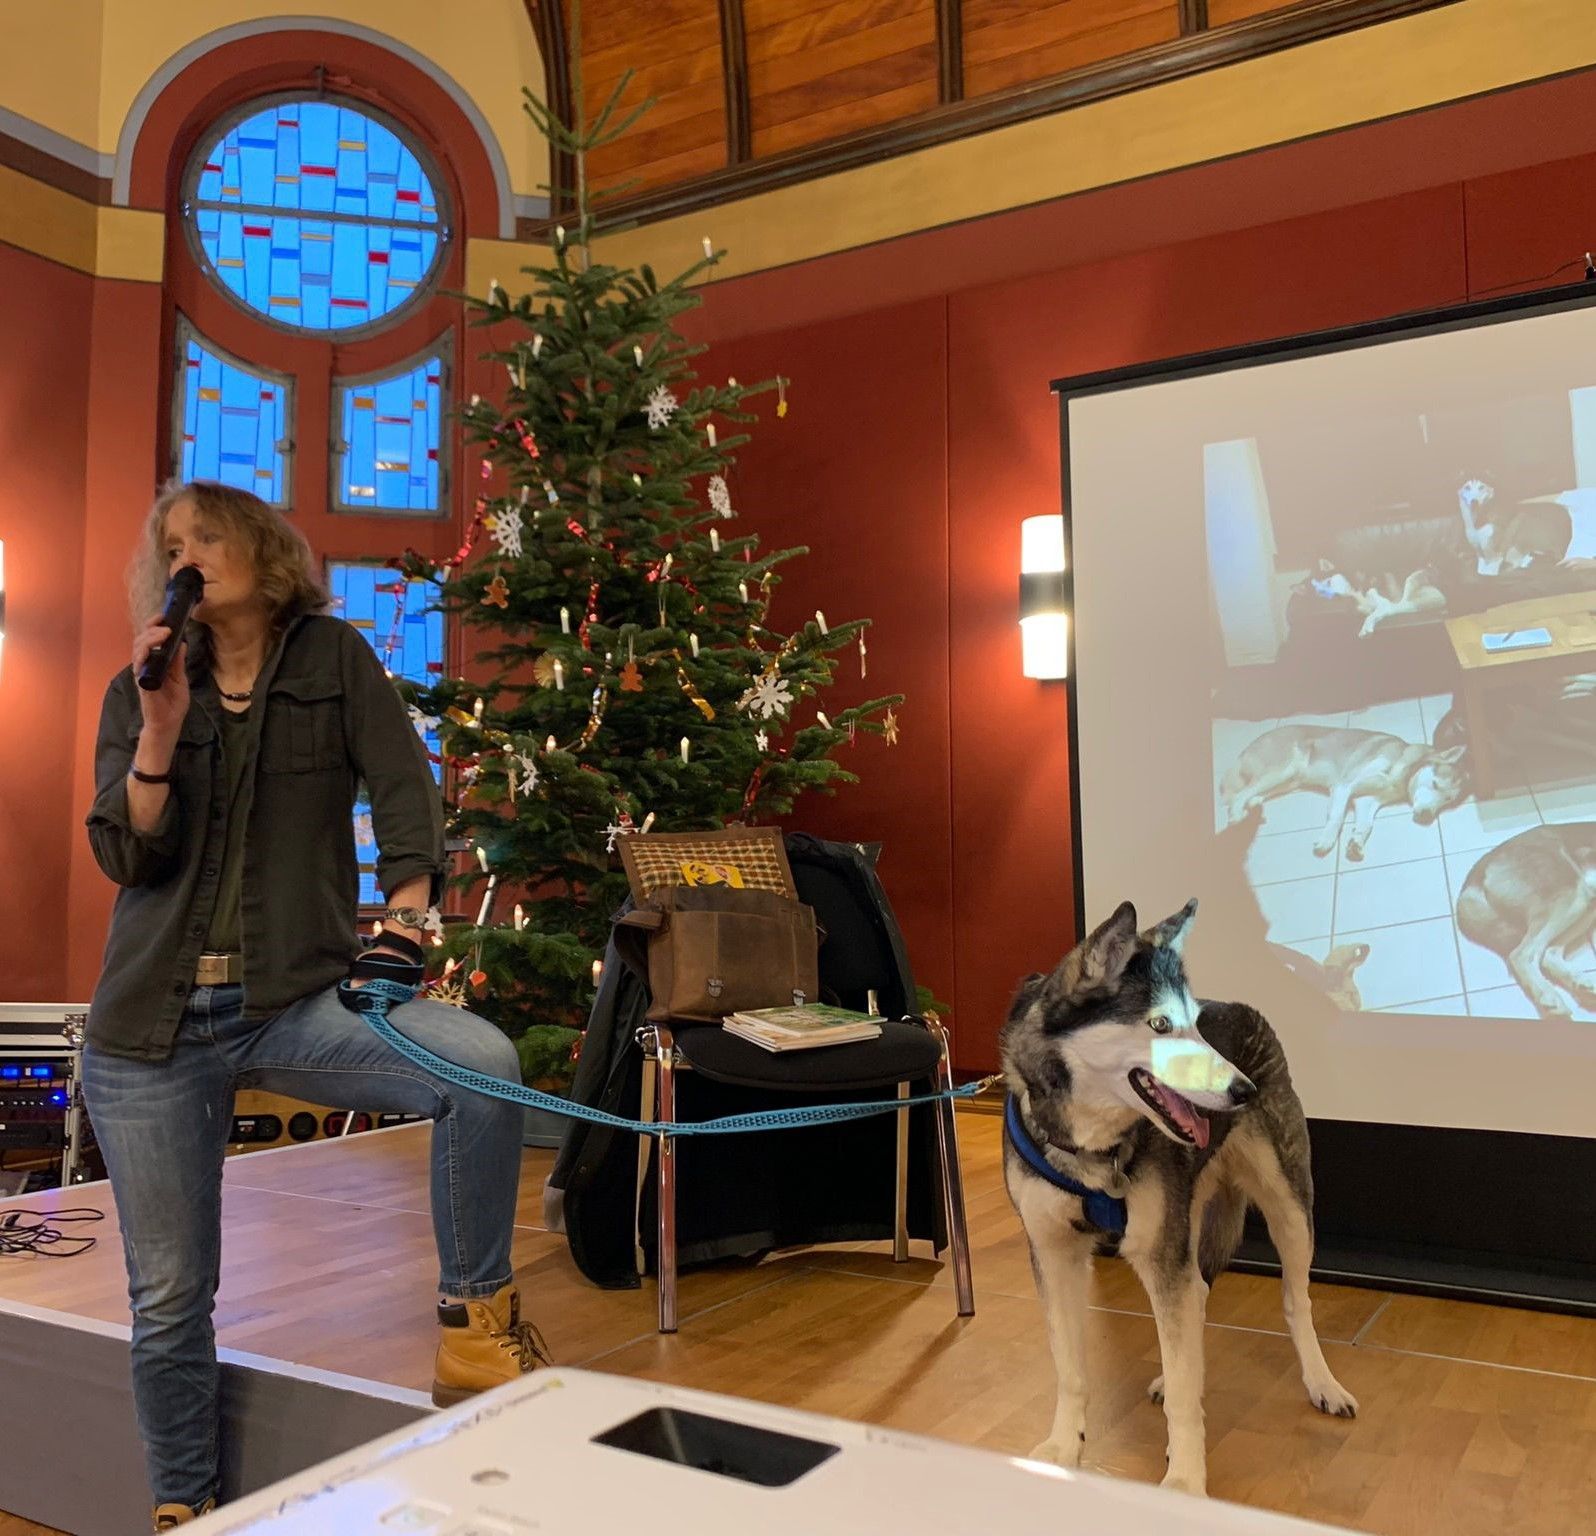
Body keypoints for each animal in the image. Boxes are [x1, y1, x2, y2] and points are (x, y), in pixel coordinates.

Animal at [1002, 900, 1356, 1498]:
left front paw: (1187, 1481)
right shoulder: (1053, 1255)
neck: (1095, 1146)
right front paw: (1062, 1448)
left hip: (1289, 1209)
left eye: (1194, 1024)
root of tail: (1241, 1005)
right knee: (1199, 1294)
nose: (1244, 1091)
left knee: (1292, 1300)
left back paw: (1322, 1382)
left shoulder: (1160, 1255)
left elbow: (1188, 1403)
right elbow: (1071, 1371)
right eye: (1160, 1026)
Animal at [1221, 724, 1469, 860]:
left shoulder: (1366, 800)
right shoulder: (1344, 786)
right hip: (1282, 770)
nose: (1427, 816)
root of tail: (1252, 743)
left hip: (1289, 781)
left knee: (1252, 794)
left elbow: (1366, 826)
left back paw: (1254, 808)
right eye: (1435, 784)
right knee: (1240, 793)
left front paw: (1356, 843)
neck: (1403, 767)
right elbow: (1337, 817)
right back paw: (1236, 816)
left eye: (1447, 800)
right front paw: (1327, 841)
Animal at [1456, 823, 1596, 1018]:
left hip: (1587, 904)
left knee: (1548, 954)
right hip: (1571, 894)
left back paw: (1580, 983)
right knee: (1521, 954)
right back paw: (1548, 995)